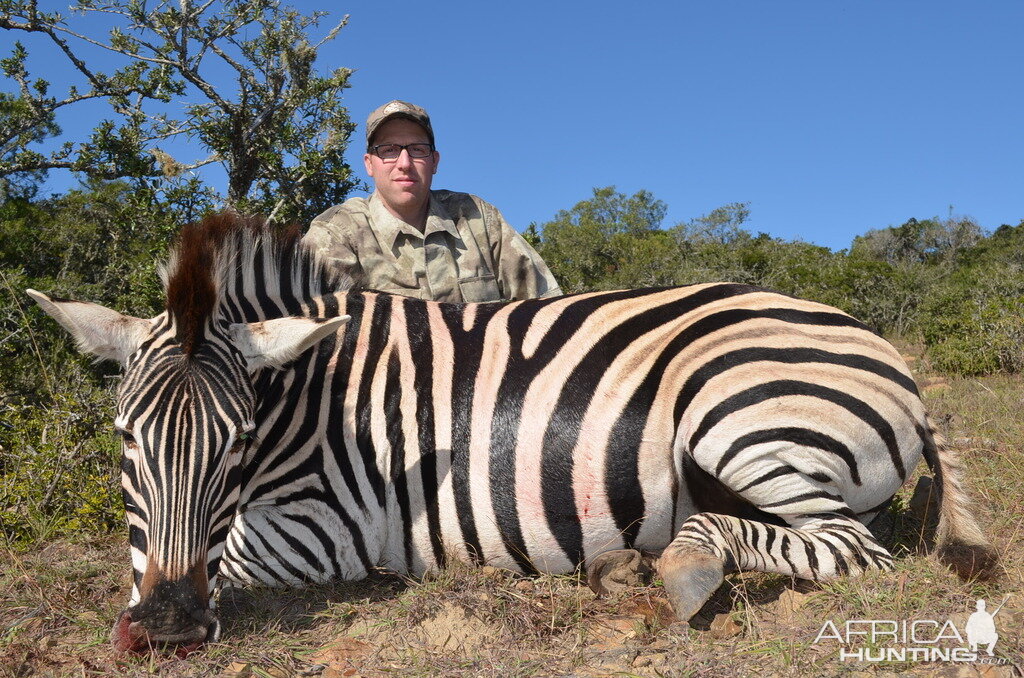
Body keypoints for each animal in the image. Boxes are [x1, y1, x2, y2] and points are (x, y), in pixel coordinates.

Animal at [25, 213, 999, 655]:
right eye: (125, 442)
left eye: (235, 443)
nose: (169, 627)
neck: (311, 400)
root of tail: (886, 353)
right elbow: (141, 556)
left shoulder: (329, 529)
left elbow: (221, 558)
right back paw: (626, 568)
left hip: (738, 410)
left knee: (854, 550)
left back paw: (676, 573)